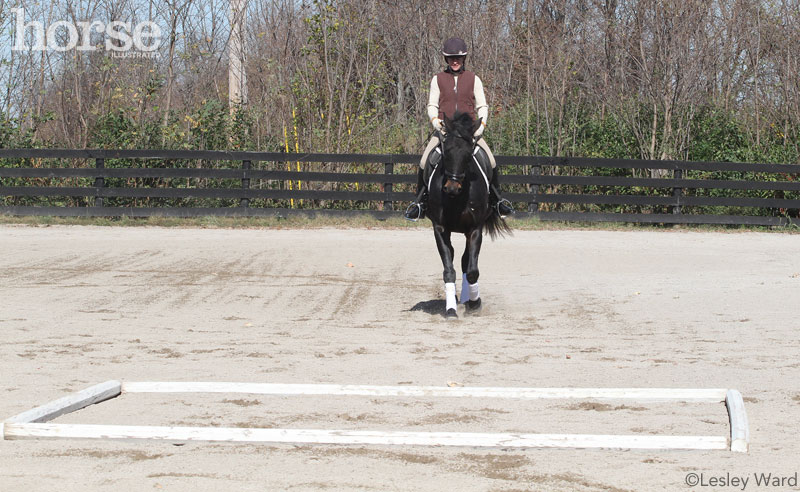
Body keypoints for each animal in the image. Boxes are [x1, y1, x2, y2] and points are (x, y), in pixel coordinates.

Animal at [424, 112, 512, 320]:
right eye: (446, 152)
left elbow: (472, 271)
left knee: (465, 262)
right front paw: (450, 310)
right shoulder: (440, 229)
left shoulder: (474, 230)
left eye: (467, 154)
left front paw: (475, 304)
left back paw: (467, 299)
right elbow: (449, 270)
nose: (452, 188)